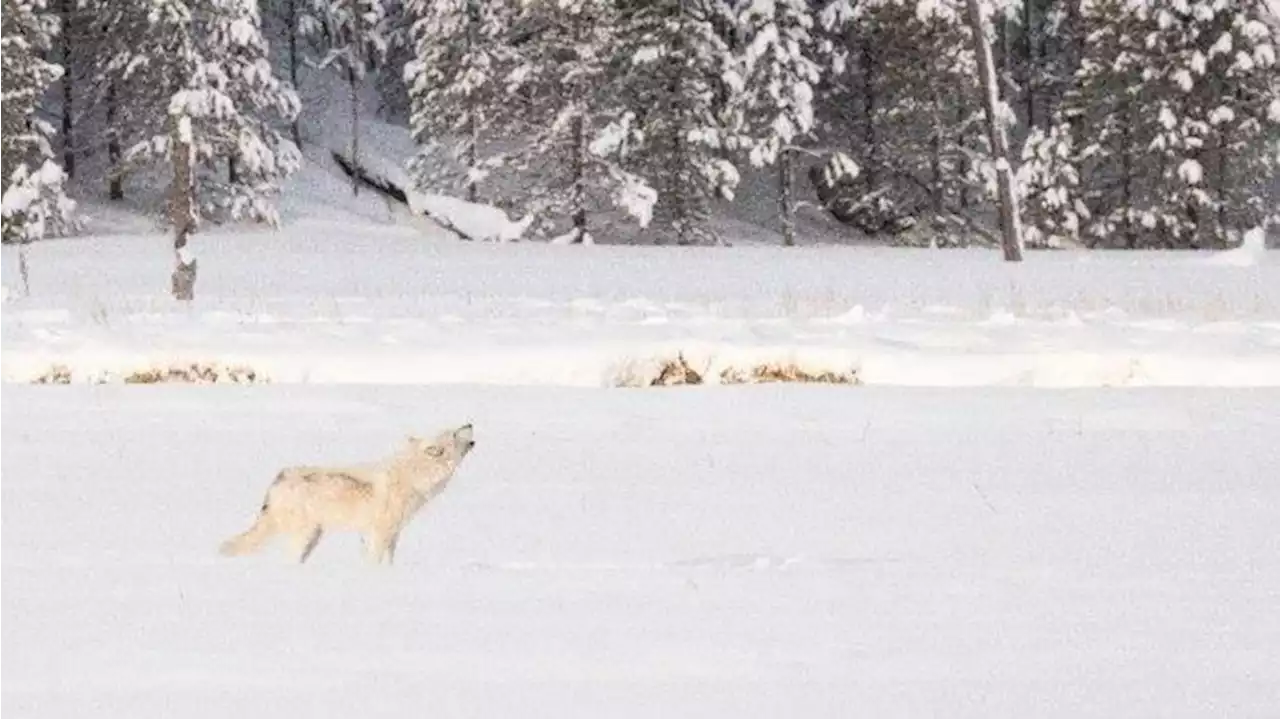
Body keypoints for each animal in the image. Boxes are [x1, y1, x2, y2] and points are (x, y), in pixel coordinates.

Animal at [220, 422, 481, 562]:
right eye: (454, 434)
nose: (469, 422)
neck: (414, 476)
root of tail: (278, 479)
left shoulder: (388, 535)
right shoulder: (380, 534)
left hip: (313, 537)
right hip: (304, 536)